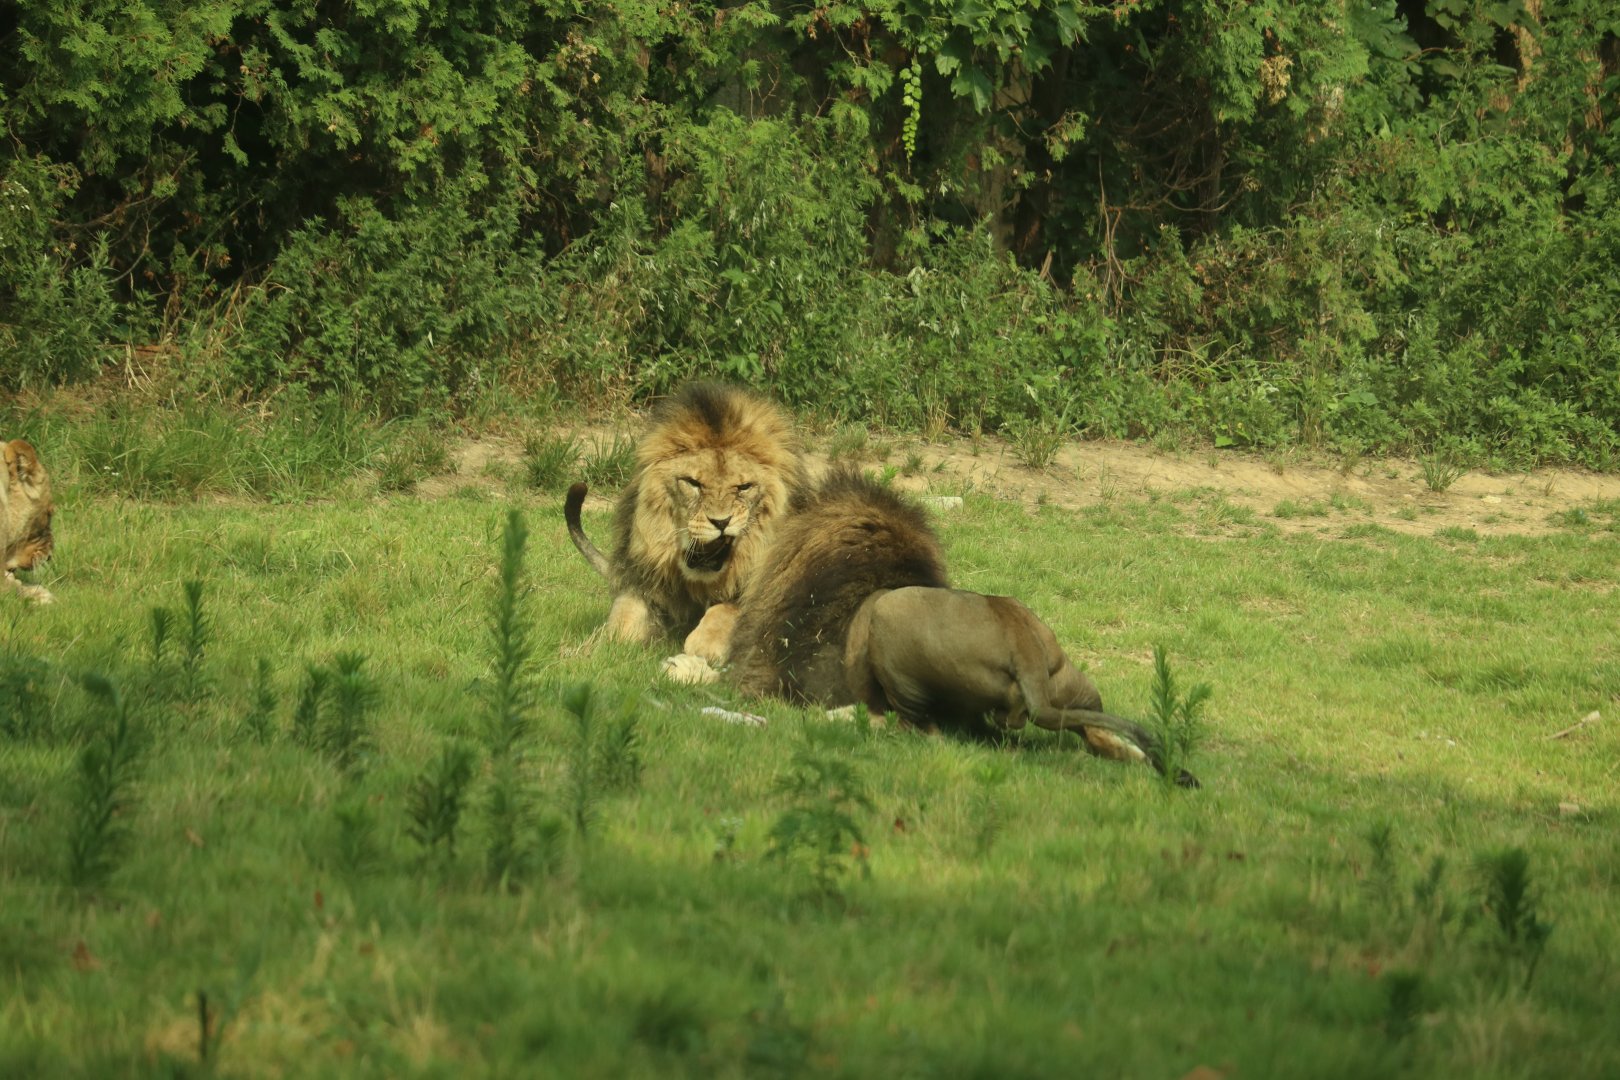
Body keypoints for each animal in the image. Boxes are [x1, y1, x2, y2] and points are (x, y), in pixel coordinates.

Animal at [564, 382, 807, 661]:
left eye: (744, 487)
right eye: (693, 483)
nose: (721, 522)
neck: (698, 584)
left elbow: (725, 614)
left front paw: (703, 648)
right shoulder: (641, 583)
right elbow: (621, 624)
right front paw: (592, 651)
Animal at [668, 468, 1196, 785]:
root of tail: (1023, 654)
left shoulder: (761, 677)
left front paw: (682, 664)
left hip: (890, 635)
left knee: (916, 729)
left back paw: (841, 719)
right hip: (1066, 671)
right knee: (1098, 730)